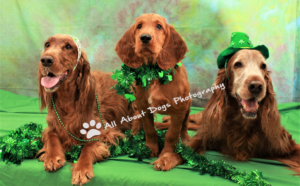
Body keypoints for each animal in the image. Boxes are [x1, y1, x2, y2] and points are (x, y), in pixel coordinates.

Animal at [114, 13, 190, 171]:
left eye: (159, 26)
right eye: (139, 26)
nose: (145, 37)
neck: (153, 72)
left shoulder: (179, 110)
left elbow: (172, 134)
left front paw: (166, 154)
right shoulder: (143, 106)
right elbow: (149, 129)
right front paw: (150, 149)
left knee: (184, 127)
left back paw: (186, 138)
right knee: (137, 123)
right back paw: (134, 136)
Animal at [188, 32, 300, 174]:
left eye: (263, 66)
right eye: (238, 64)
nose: (256, 86)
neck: (244, 124)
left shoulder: (284, 143)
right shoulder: (206, 134)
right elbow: (187, 146)